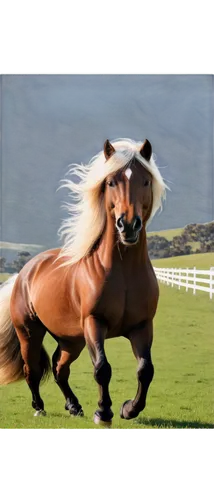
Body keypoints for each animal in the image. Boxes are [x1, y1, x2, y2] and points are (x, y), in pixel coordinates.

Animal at [0, 137, 167, 426]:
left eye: (145, 181)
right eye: (111, 182)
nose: (128, 225)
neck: (122, 273)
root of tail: (24, 273)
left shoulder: (142, 326)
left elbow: (146, 369)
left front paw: (129, 409)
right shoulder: (94, 323)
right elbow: (102, 368)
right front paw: (103, 413)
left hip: (72, 340)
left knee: (59, 367)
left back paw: (74, 405)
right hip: (30, 333)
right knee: (32, 369)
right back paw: (39, 407)